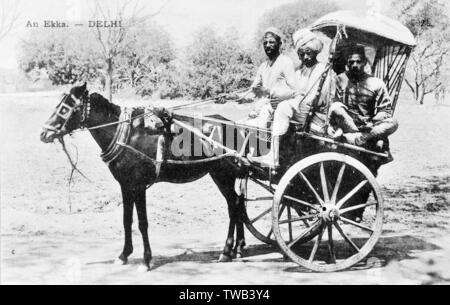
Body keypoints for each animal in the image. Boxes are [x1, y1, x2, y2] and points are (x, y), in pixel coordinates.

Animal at [40, 82, 248, 268]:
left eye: (65, 108)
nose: (44, 133)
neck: (128, 135)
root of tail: (234, 125)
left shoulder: (139, 186)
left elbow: (142, 223)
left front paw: (146, 260)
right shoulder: (125, 185)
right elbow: (127, 220)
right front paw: (124, 255)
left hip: (222, 175)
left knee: (233, 206)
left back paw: (226, 251)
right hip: (222, 175)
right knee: (238, 203)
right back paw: (237, 248)